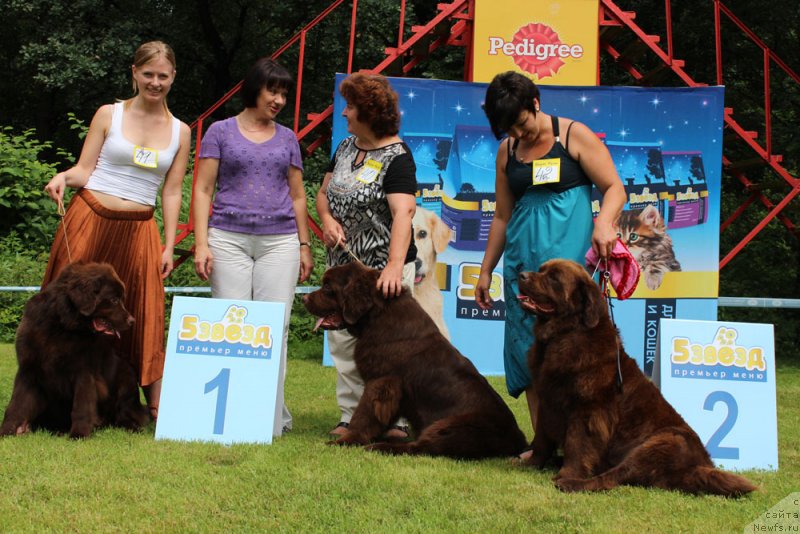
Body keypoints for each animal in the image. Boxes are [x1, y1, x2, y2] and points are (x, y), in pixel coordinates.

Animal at [1, 262, 150, 440]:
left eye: (121, 299)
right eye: (114, 300)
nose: (132, 321)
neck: (61, 326)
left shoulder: (83, 373)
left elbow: (81, 406)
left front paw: (79, 434)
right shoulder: (28, 370)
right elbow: (15, 405)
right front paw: (7, 431)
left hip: (126, 381)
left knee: (126, 414)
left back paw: (132, 428)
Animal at [304, 262, 528, 458]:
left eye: (327, 286)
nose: (305, 298)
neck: (376, 317)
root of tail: (518, 441)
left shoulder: (381, 382)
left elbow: (364, 414)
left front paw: (347, 440)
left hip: (451, 427)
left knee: (421, 448)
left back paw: (381, 447)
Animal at [516, 260, 752, 498]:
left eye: (554, 278)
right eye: (541, 270)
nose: (522, 275)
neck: (562, 336)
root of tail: (696, 468)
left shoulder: (587, 410)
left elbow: (577, 444)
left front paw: (566, 474)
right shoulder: (548, 400)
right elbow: (542, 439)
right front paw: (531, 464)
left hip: (663, 441)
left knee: (612, 477)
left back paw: (570, 483)